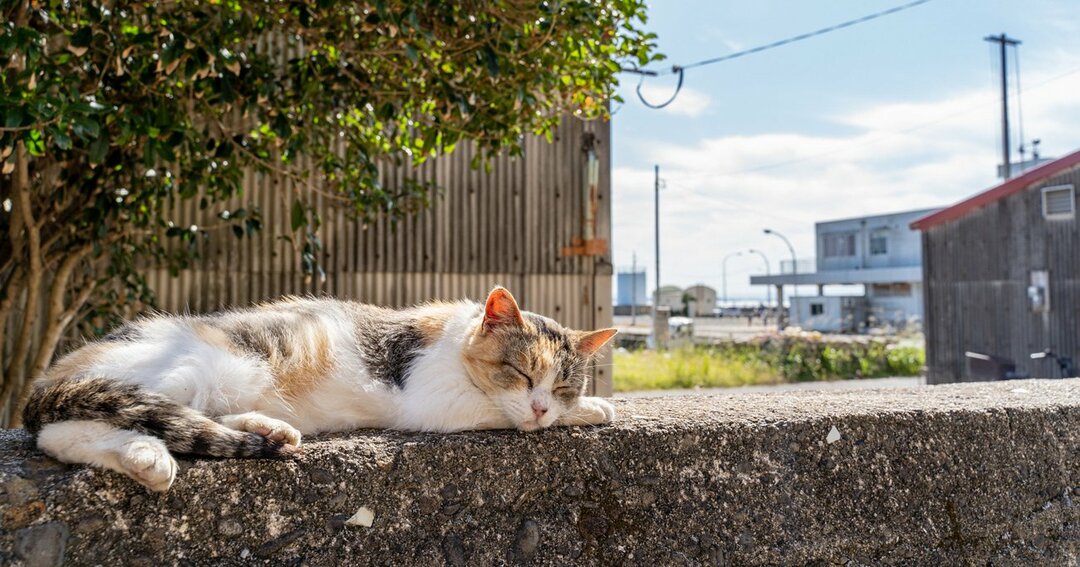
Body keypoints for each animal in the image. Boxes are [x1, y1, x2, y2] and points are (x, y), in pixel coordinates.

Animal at [19, 287, 617, 490]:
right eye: (522, 374)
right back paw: (146, 458)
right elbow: (499, 412)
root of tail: (51, 373)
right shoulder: (434, 399)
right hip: (186, 367)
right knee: (63, 432)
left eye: (562, 383)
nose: (542, 405)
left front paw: (584, 406)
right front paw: (589, 409)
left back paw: (270, 431)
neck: (453, 336)